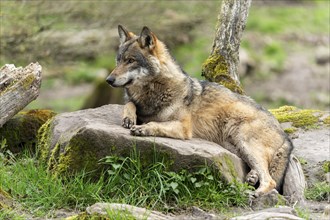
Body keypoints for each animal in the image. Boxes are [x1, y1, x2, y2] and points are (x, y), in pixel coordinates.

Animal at [105, 24, 292, 197]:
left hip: (245, 141)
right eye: (118, 60)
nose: (108, 79)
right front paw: (128, 118)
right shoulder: (138, 104)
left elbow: (155, 124)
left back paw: (255, 193)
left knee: (271, 181)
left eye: (130, 61)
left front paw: (142, 128)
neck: (155, 91)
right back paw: (252, 178)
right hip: (236, 146)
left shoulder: (183, 127)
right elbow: (130, 104)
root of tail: (285, 135)